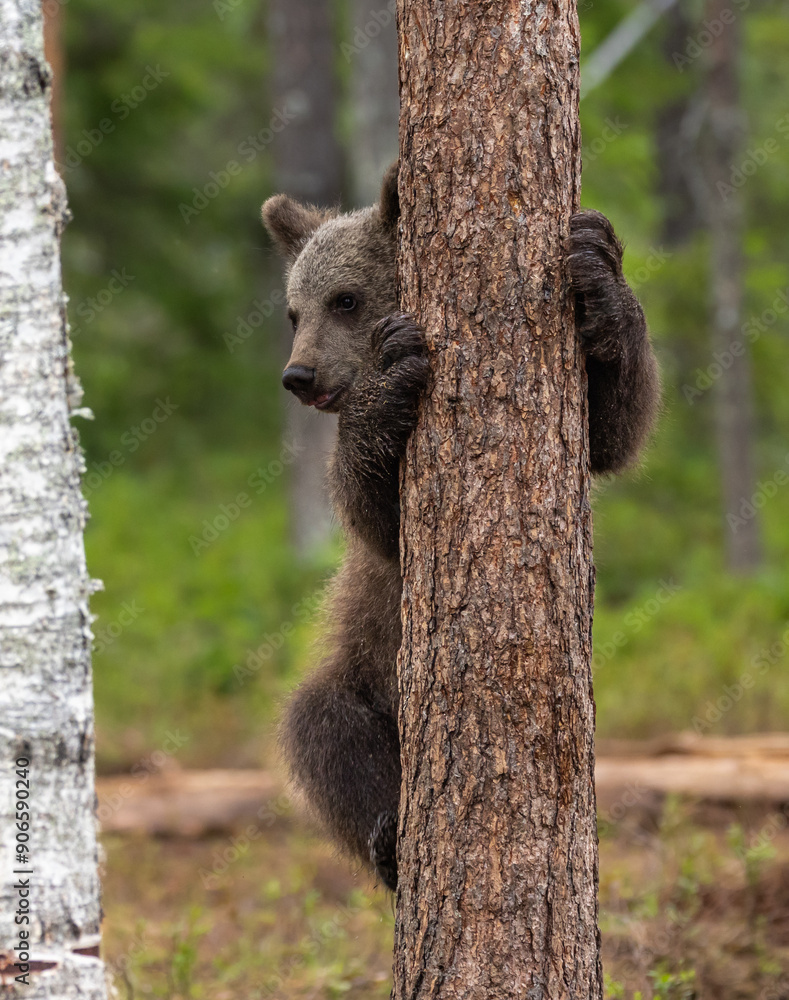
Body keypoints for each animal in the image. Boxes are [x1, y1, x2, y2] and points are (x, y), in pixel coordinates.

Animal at [261, 163, 659, 892]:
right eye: (294, 311)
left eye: (344, 300)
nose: (299, 374)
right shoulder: (380, 540)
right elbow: (375, 517)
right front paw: (389, 377)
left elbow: (616, 429)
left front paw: (598, 262)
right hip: (365, 667)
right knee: (323, 726)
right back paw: (387, 837)